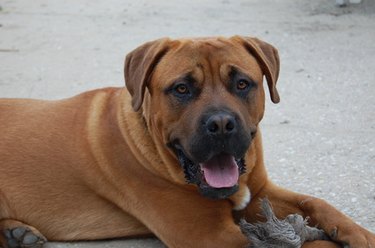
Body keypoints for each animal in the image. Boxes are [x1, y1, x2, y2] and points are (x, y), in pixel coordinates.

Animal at [0, 35, 374, 248]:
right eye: (181, 88)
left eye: (242, 83)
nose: (221, 124)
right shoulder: (211, 235)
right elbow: (311, 246)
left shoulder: (260, 193)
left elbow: (317, 204)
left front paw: (360, 234)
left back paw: (16, 234)